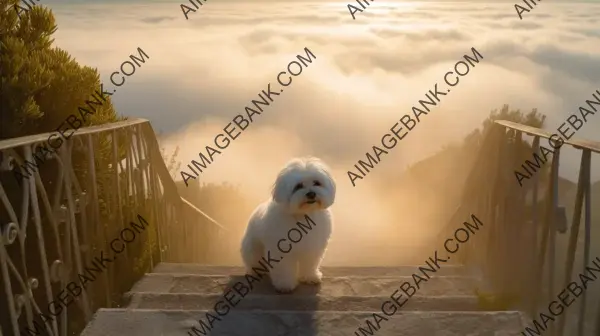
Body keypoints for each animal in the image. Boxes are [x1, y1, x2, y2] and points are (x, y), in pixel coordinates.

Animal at [239, 157, 336, 292]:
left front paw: (310, 277)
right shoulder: (281, 249)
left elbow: (310, 263)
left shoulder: (313, 247)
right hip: (252, 249)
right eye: (298, 186)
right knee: (252, 263)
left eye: (317, 183)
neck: (302, 214)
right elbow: (284, 268)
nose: (311, 194)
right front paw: (284, 284)